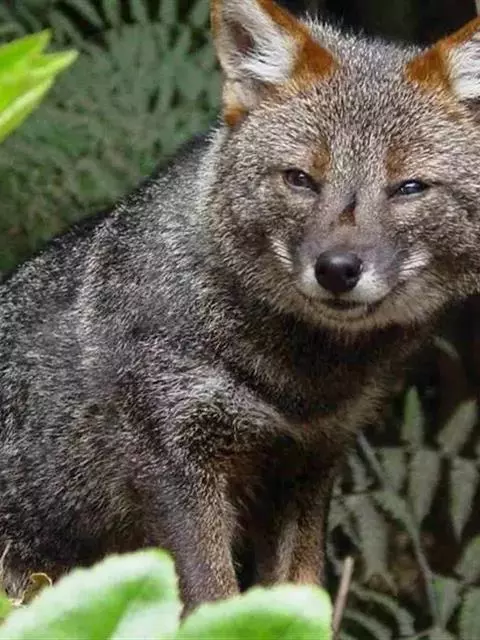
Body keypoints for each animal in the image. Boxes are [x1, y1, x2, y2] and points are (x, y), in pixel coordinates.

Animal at [1, 0, 480, 611]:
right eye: (300, 179)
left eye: (409, 188)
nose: (337, 270)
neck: (299, 383)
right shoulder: (176, 465)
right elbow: (213, 600)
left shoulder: (308, 464)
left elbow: (296, 596)